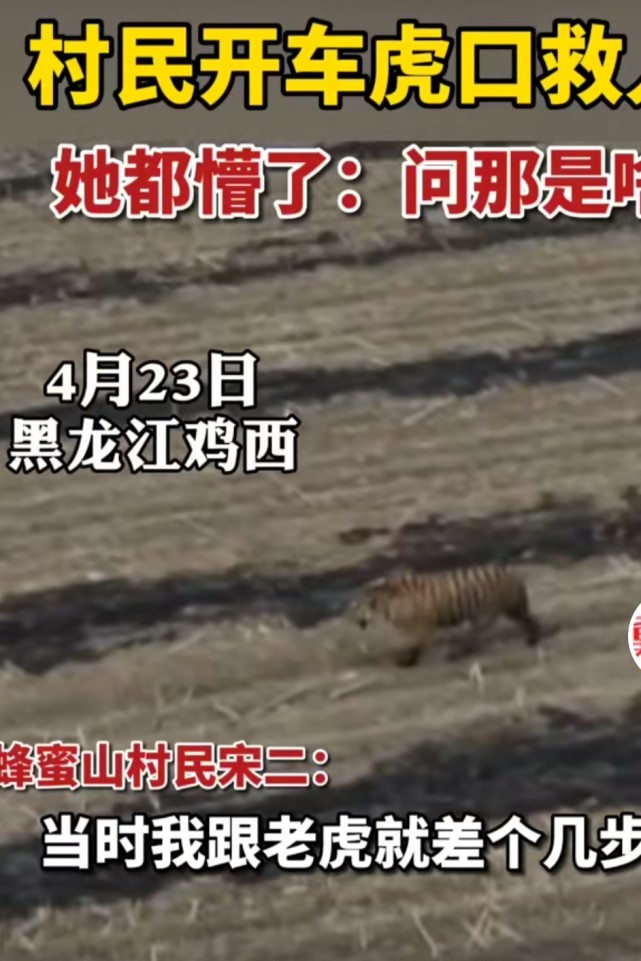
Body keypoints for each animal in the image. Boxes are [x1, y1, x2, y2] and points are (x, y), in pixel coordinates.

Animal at [347, 562, 541, 667]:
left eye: (356, 609)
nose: (353, 620)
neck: (385, 603)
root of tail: (511, 573)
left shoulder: (423, 625)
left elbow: (417, 645)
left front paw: (410, 661)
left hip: (491, 612)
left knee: (476, 634)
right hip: (509, 609)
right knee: (528, 619)